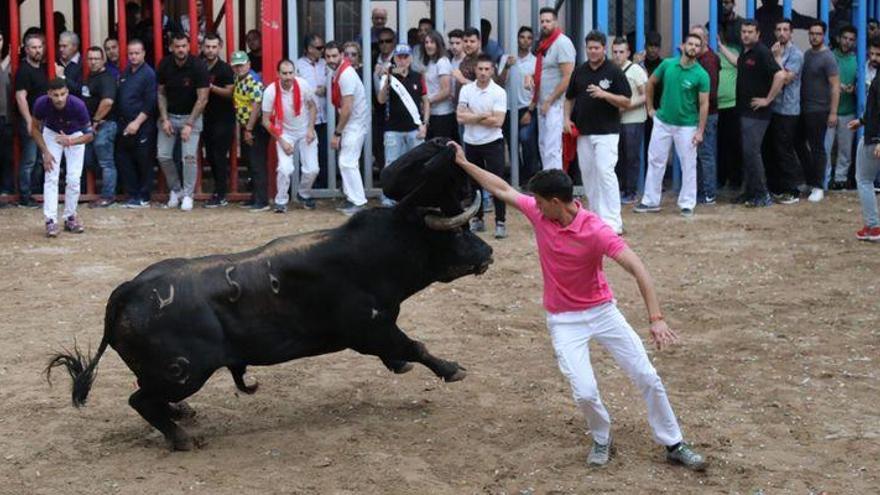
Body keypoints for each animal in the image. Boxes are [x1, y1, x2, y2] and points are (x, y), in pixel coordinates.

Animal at [48, 138, 492, 452]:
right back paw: (182, 438)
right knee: (139, 399)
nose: (488, 252)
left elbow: (402, 350)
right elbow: (416, 345)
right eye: (457, 232)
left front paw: (403, 365)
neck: (380, 248)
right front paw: (451, 368)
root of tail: (129, 291)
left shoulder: (378, 330)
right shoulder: (372, 328)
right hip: (186, 372)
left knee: (148, 396)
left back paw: (182, 416)